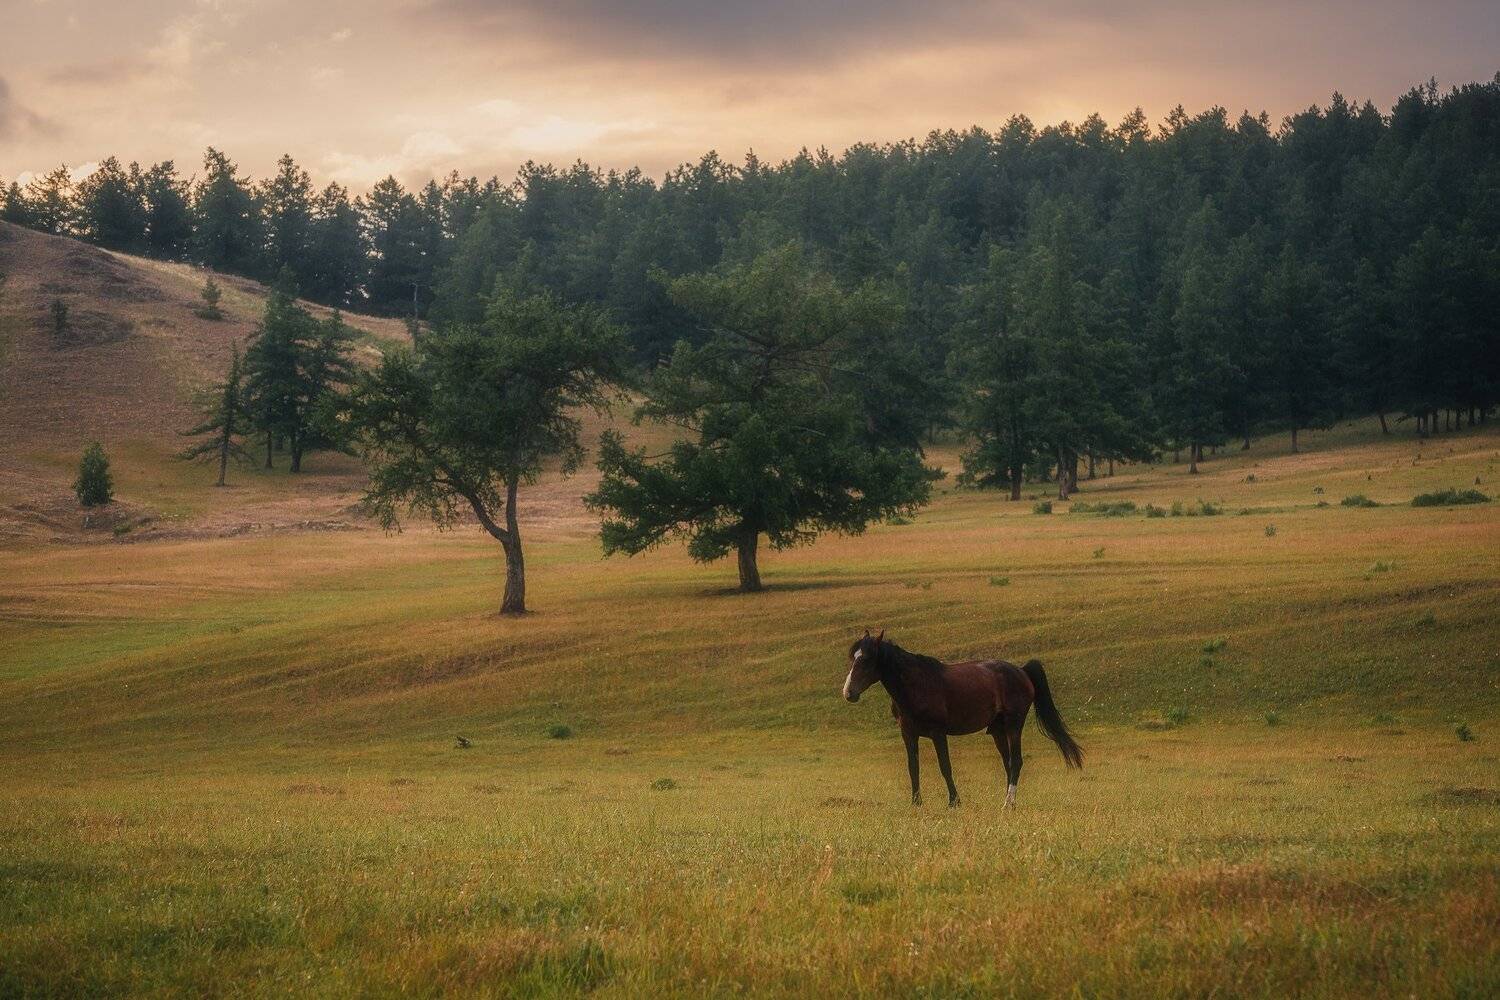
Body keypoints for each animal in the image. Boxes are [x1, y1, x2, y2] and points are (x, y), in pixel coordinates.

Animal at [841, 630, 1083, 808]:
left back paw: (1008, 803)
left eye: (867, 660)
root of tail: (1021, 671)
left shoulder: (938, 733)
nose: (848, 693)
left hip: (1014, 725)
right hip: (997, 731)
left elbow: (945, 766)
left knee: (1016, 761)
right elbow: (913, 766)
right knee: (1008, 762)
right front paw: (916, 803)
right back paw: (1010, 802)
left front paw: (954, 802)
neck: (917, 685)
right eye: (853, 658)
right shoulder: (908, 734)